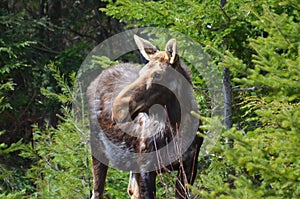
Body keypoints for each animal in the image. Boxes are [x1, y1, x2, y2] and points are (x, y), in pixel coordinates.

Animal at [88, 35, 203, 198]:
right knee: (97, 191)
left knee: (131, 190)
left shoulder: (189, 165)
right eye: (141, 72)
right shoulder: (146, 167)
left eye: (158, 74)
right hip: (98, 149)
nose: (118, 107)